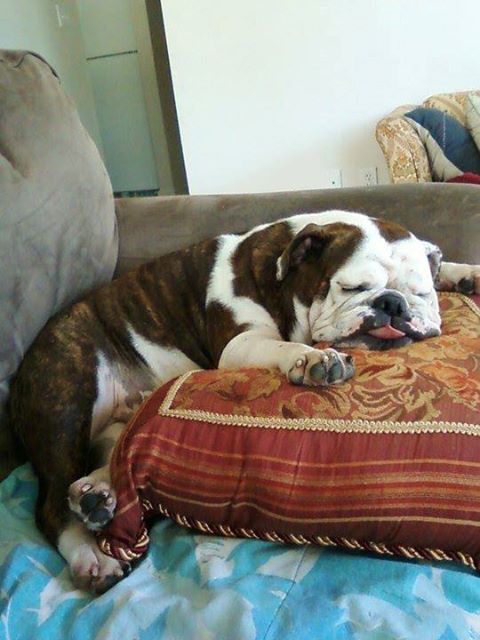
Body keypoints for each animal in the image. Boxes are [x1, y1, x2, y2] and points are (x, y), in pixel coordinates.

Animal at [8, 210, 480, 592]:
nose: (392, 304)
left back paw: (97, 494)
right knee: (50, 504)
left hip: (119, 422)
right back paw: (91, 556)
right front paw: (312, 358)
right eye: (351, 287)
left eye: (420, 293)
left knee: (113, 458)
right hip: (66, 396)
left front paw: (464, 272)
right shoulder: (240, 344)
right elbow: (279, 347)